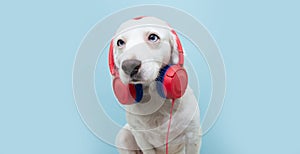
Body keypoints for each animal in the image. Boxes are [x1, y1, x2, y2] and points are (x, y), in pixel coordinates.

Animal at [110, 16, 202, 153]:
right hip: (123, 136)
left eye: (153, 37)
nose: (129, 66)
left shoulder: (193, 136)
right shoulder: (142, 139)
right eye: (120, 42)